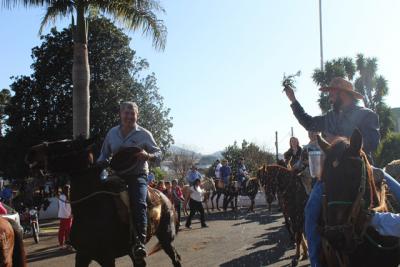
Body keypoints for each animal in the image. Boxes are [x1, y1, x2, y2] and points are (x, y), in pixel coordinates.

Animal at [25, 139, 180, 267]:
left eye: (67, 145)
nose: (32, 151)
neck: (92, 208)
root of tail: (165, 198)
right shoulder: (82, 255)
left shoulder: (107, 258)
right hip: (132, 250)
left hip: (165, 238)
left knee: (175, 258)